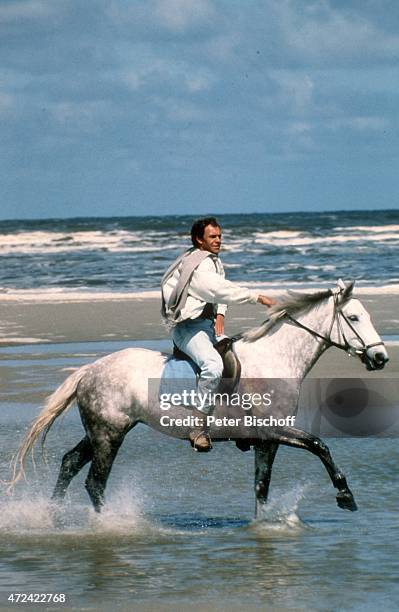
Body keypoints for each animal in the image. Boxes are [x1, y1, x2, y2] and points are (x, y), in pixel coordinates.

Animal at [10, 282, 390, 516]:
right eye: (354, 317)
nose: (381, 358)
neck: (275, 358)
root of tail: (90, 369)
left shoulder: (266, 441)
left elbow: (261, 488)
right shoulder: (275, 430)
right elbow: (319, 445)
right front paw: (345, 497)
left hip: (104, 431)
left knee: (70, 463)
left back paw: (53, 517)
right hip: (109, 435)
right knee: (95, 482)